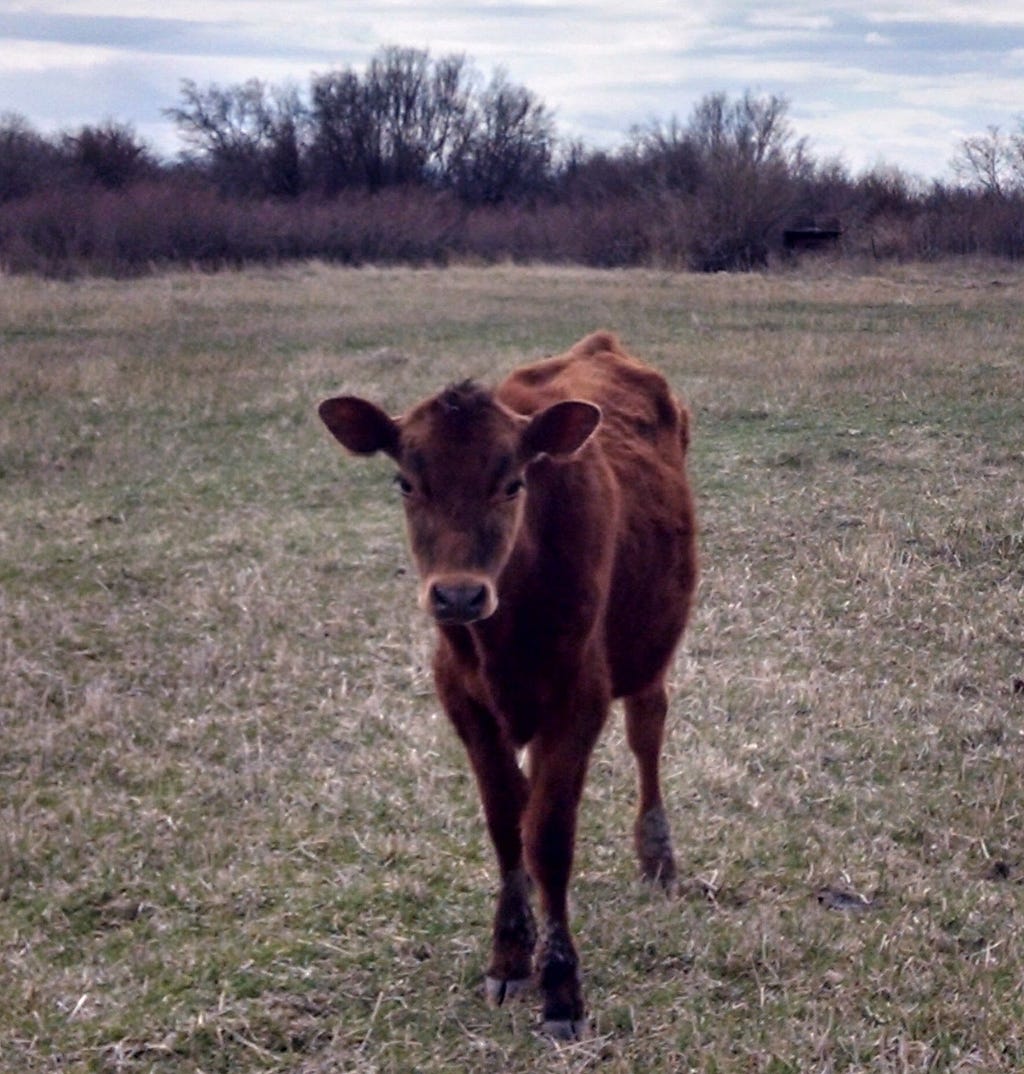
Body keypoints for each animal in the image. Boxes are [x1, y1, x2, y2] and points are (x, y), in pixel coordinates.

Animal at [318, 331, 697, 1038]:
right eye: (405, 481)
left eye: (513, 482)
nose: (458, 595)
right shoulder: (465, 704)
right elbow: (506, 824)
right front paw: (509, 958)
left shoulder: (579, 698)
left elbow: (547, 837)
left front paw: (562, 989)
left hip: (650, 647)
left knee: (648, 733)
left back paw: (657, 856)